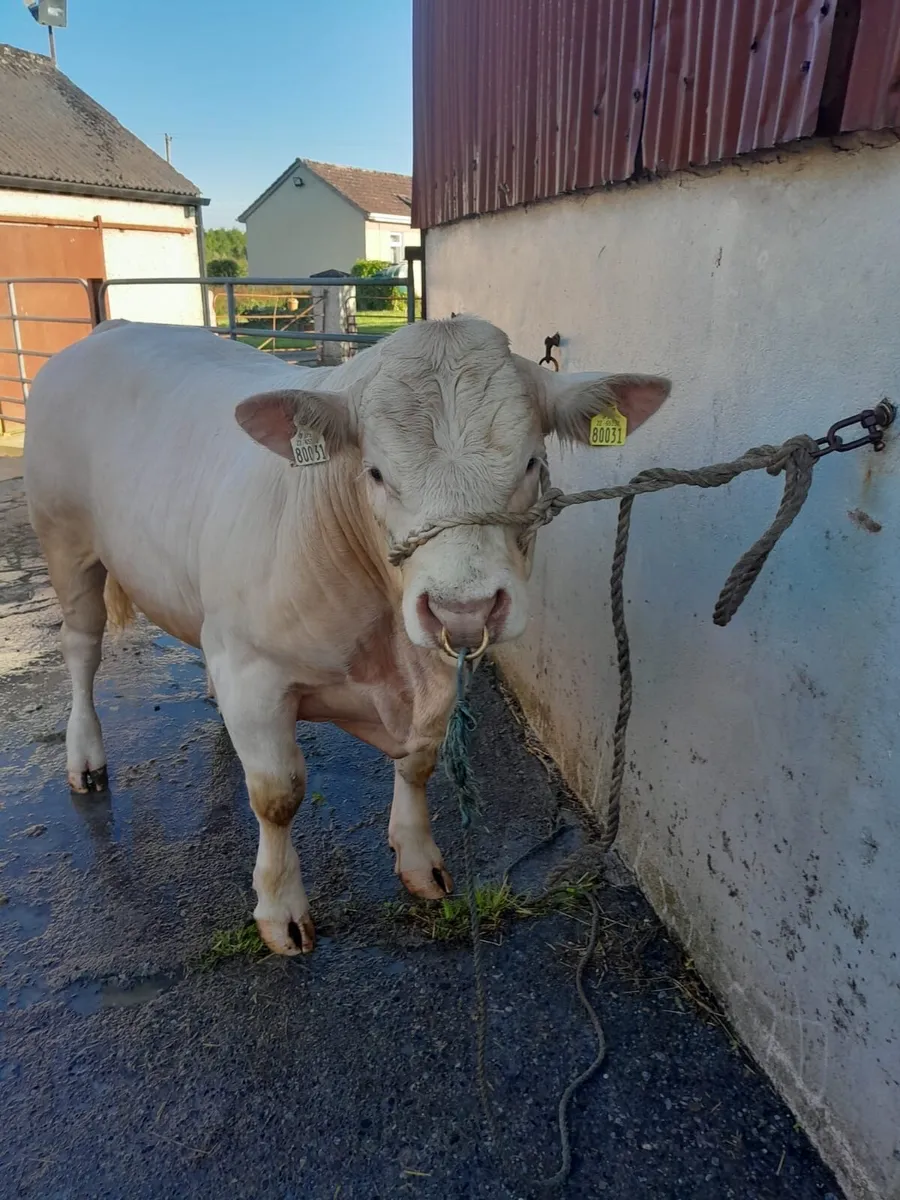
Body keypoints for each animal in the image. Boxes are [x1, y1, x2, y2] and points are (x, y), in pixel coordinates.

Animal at [24, 316, 669, 955]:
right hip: (65, 542)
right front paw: (281, 908)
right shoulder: (254, 672)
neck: (389, 652)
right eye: (376, 472)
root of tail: (110, 328)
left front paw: (419, 858)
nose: (463, 608)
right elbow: (277, 795)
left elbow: (419, 762)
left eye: (532, 462)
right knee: (81, 650)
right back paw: (85, 757)